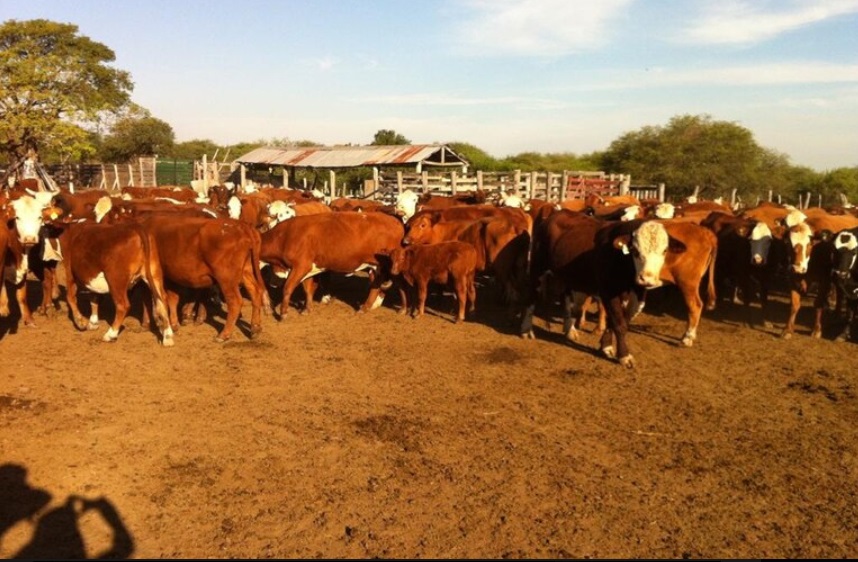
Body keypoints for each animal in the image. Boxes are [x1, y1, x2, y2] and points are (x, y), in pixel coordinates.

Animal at [259, 211, 405, 318]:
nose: (272, 283)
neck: (285, 236)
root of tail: (396, 221)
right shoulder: (308, 268)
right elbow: (308, 289)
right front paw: (307, 309)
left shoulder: (300, 266)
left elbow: (288, 287)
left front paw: (283, 312)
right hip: (377, 267)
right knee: (376, 285)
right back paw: (366, 307)